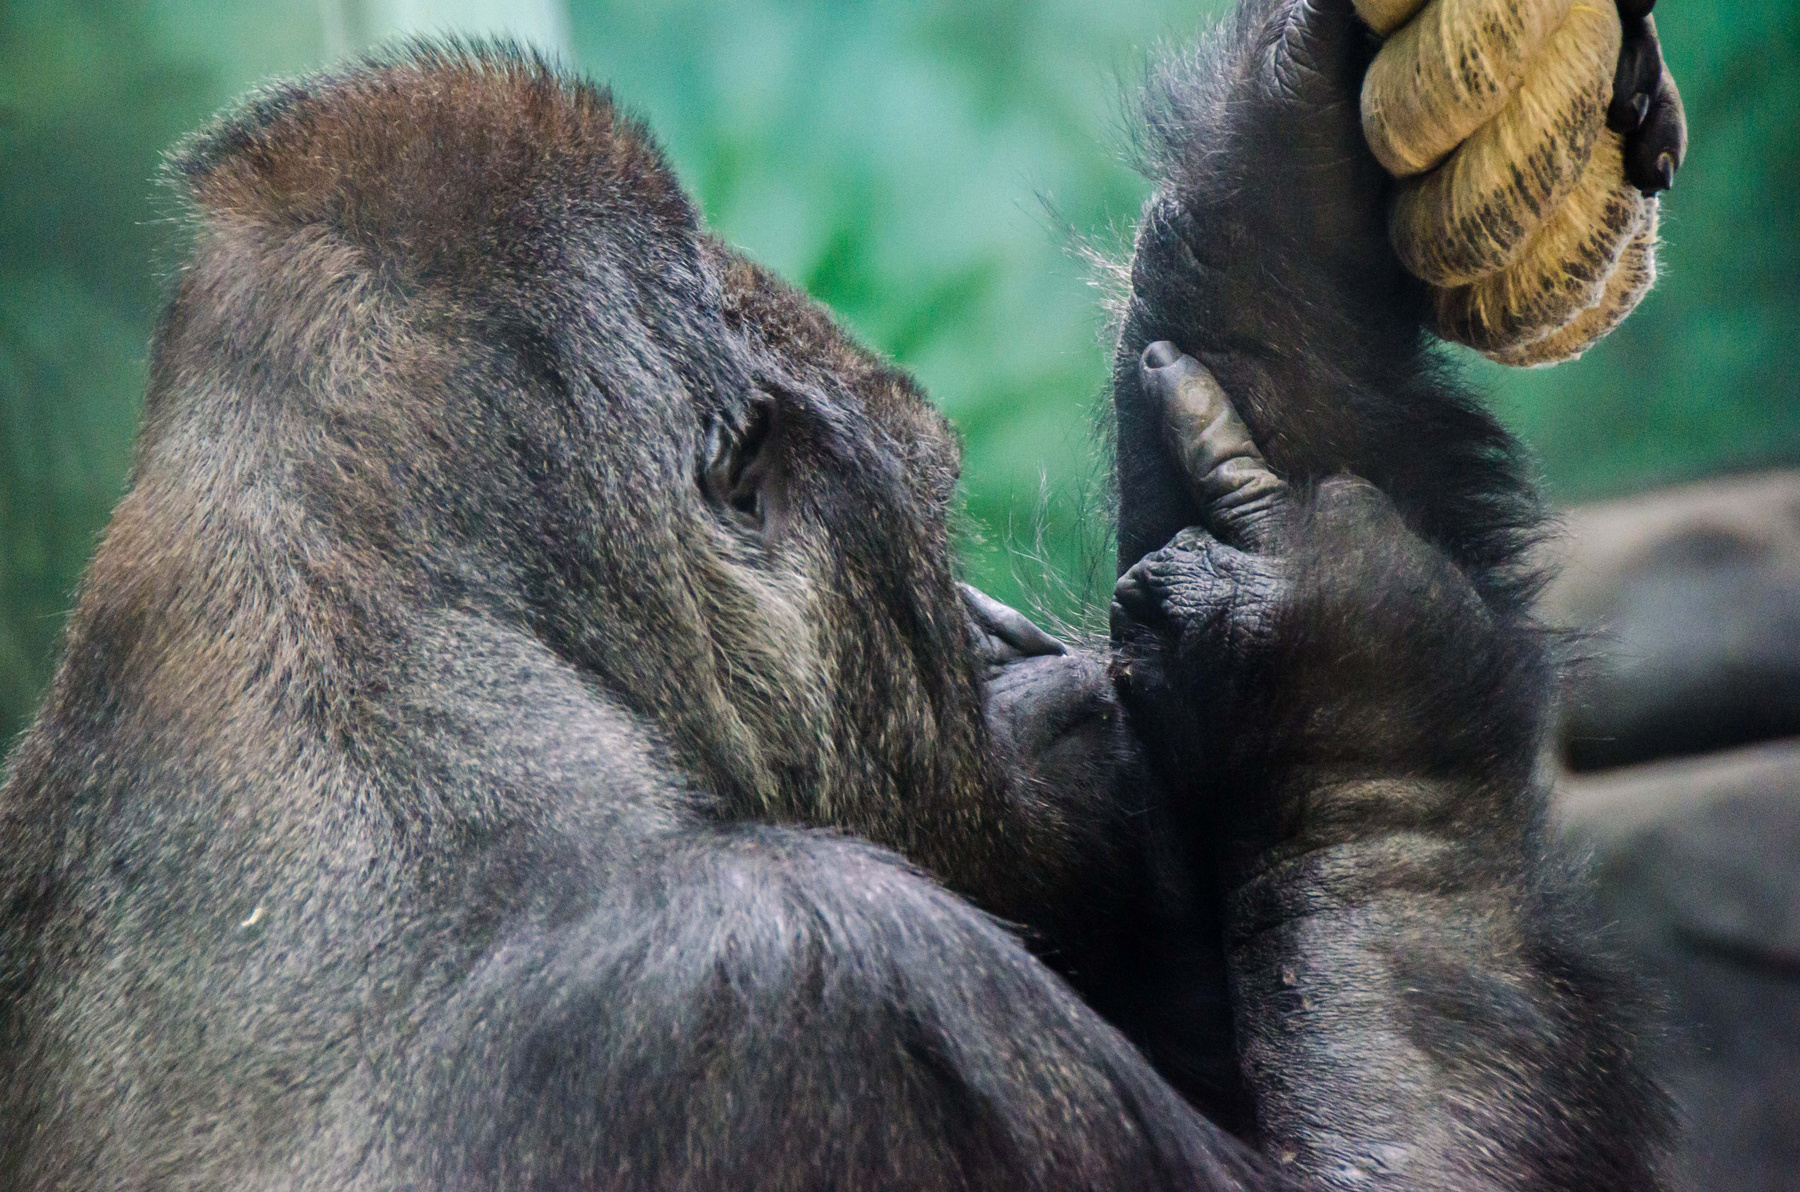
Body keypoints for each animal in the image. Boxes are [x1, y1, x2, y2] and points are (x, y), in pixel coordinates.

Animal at [0, 1, 1677, 1188]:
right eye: (934, 517)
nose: (1010, 634)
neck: (424, 644)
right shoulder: (829, 986)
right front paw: (1354, 678)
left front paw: (1289, 153)